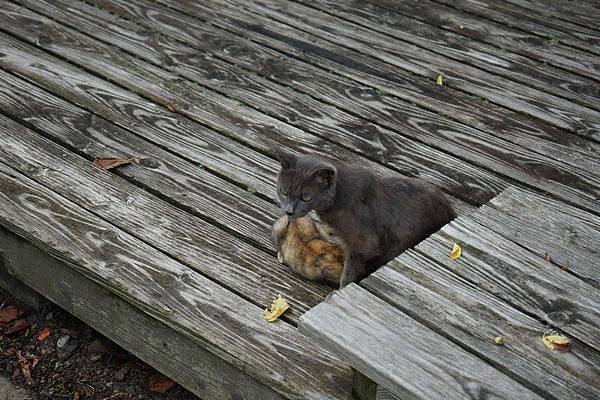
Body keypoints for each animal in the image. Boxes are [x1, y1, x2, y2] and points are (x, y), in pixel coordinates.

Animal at [272, 150, 454, 288]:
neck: (339, 200)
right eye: (283, 191)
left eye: (306, 198)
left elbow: (348, 275)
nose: (289, 211)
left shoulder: (362, 246)